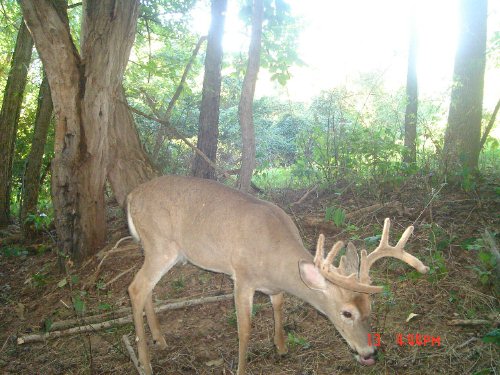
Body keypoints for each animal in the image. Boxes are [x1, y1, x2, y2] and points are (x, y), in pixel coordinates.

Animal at [126, 176, 430, 375]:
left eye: (370, 308)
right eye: (346, 313)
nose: (370, 353)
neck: (274, 259)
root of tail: (130, 197)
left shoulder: (273, 287)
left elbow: (279, 304)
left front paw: (281, 347)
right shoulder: (242, 277)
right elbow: (245, 329)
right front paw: (241, 368)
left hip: (157, 249)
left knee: (148, 289)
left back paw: (160, 339)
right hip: (160, 244)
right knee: (135, 288)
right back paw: (145, 363)